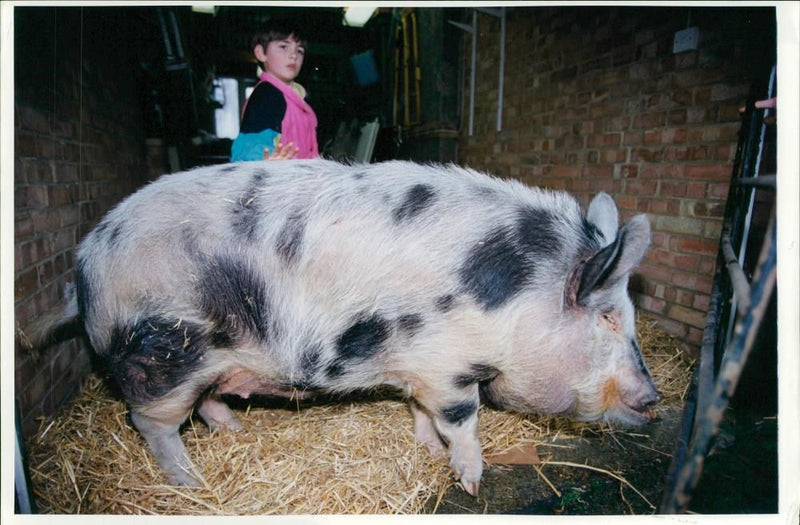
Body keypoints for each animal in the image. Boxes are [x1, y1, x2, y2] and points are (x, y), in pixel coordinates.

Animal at [28, 158, 660, 494]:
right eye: (608, 316)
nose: (654, 398)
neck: (517, 296)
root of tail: (86, 262)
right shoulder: (448, 364)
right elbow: (463, 419)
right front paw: (472, 481)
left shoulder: (420, 363)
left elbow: (419, 410)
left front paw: (425, 449)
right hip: (166, 347)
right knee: (150, 421)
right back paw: (191, 483)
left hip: (209, 354)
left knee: (205, 400)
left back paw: (234, 431)